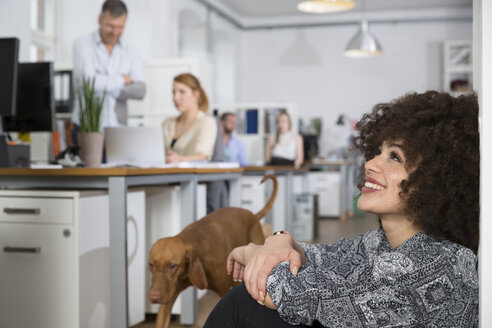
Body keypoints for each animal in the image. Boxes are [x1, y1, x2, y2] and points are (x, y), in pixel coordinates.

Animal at [147, 174, 276, 328]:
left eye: (172, 266)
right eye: (151, 265)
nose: (154, 297)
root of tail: (253, 215)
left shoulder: (223, 291)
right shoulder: (169, 297)